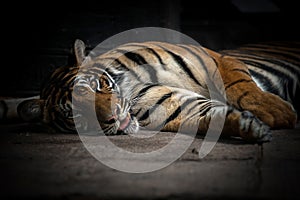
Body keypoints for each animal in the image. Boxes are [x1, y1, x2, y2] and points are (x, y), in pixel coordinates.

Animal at [0, 39, 298, 142]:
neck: (133, 85)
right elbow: (210, 117)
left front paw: (277, 111)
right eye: (74, 115)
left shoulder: (214, 58)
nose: (113, 118)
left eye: (97, 86)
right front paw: (249, 127)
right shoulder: (176, 107)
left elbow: (240, 86)